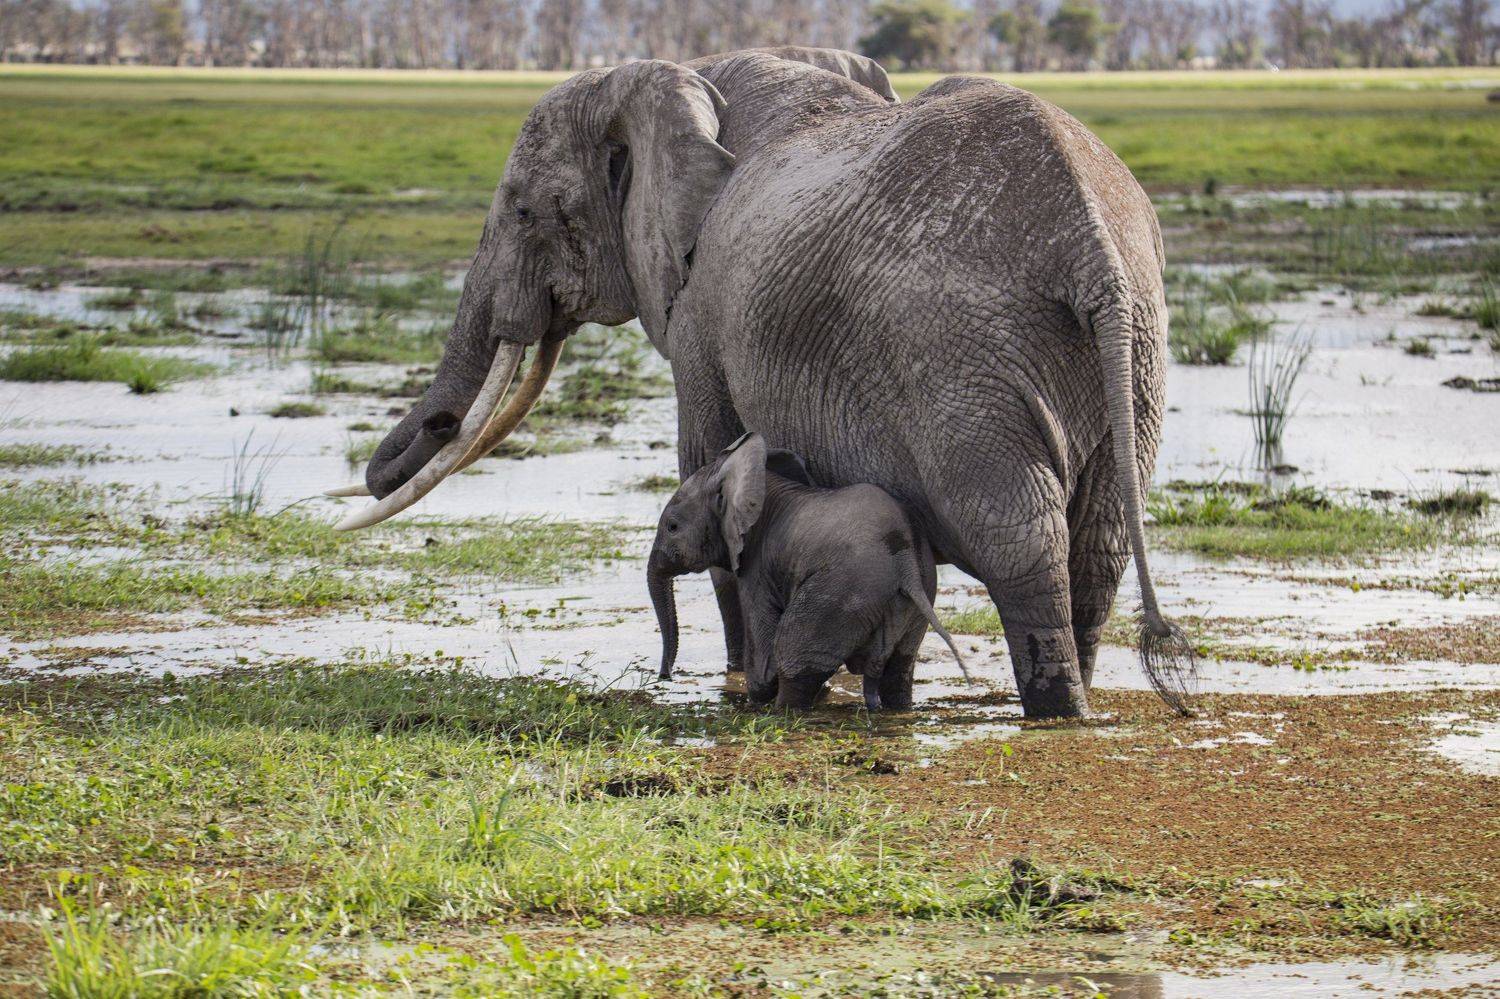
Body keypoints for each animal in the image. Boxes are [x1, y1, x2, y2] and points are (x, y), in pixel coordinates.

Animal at [647, 432, 968, 710]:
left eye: (672, 526)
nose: (665, 677)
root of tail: (906, 566)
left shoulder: (757, 566)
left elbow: (764, 658)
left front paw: (758, 697)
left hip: (841, 592)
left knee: (793, 654)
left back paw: (786, 710)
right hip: (918, 595)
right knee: (899, 672)